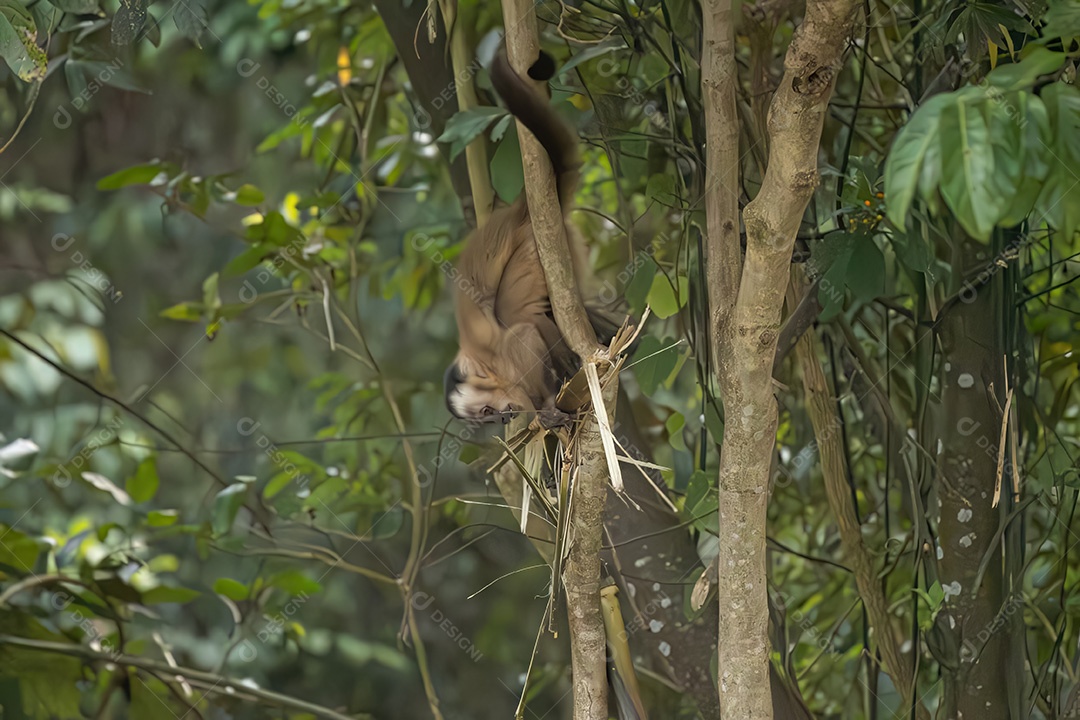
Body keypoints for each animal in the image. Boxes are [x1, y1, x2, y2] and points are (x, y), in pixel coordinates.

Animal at [443, 41, 620, 424]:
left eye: (484, 412)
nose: (499, 419)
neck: (492, 371)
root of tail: (519, 211)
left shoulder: (493, 354)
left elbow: (521, 333)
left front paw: (548, 404)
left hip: (533, 248)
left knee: (516, 314)